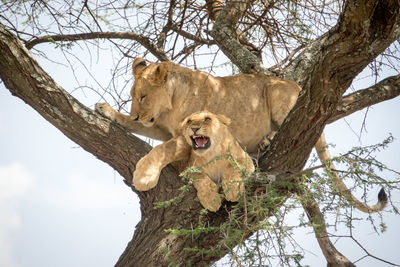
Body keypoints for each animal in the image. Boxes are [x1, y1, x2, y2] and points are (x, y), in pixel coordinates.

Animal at [97, 58, 388, 214]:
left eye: (142, 96)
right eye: (133, 97)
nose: (137, 115)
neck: (170, 103)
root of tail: (296, 85)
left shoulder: (182, 135)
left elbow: (161, 150)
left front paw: (144, 176)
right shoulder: (160, 127)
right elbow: (135, 127)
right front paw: (107, 111)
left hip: (277, 94)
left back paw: (268, 141)